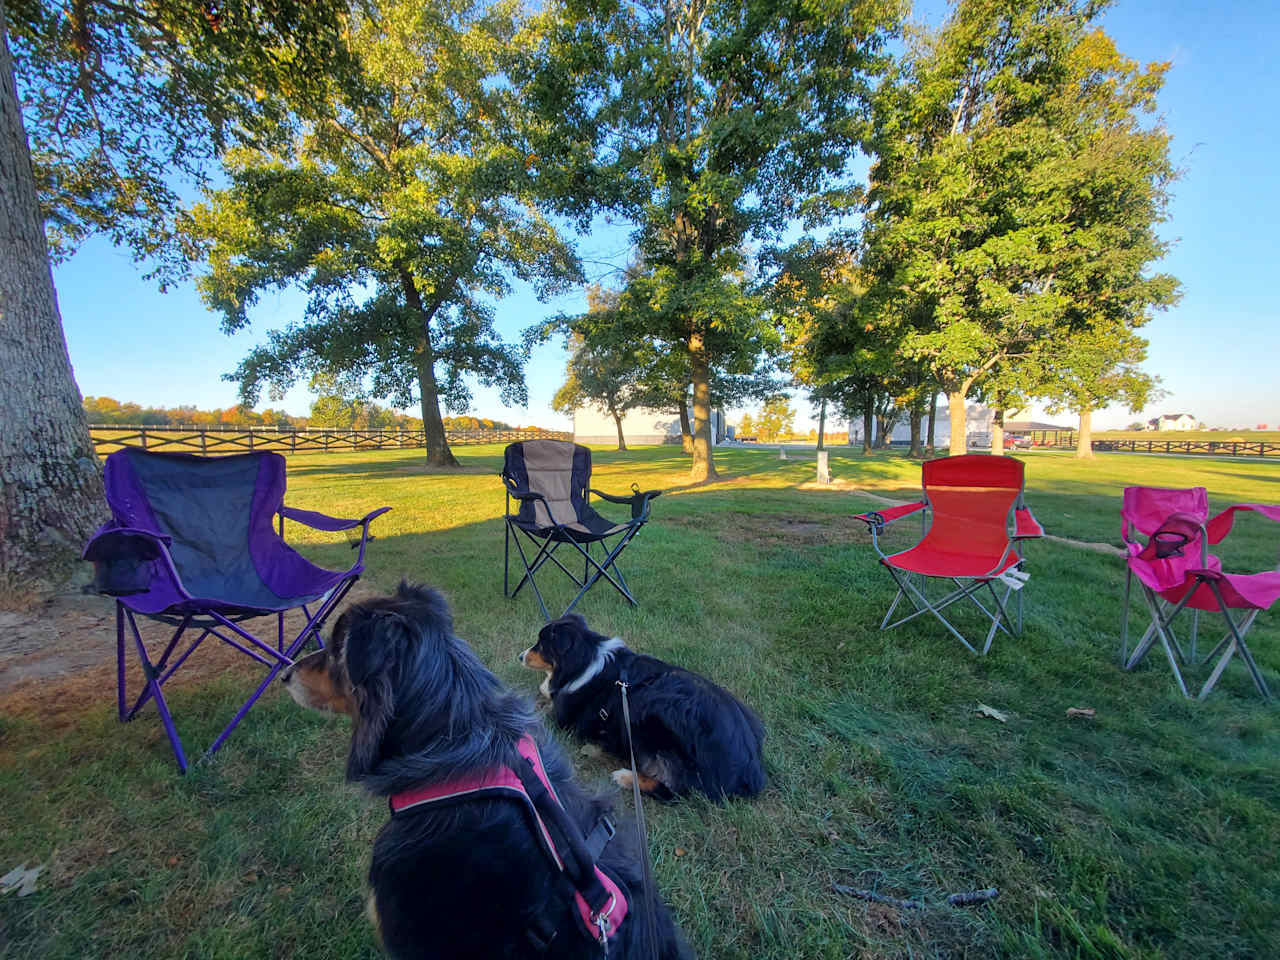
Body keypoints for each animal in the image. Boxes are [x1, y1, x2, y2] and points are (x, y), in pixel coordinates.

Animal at [522, 616, 762, 803]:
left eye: (541, 644)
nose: (520, 656)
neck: (584, 659)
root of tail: (748, 770)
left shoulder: (564, 720)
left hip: (653, 714)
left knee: (676, 791)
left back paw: (626, 777)